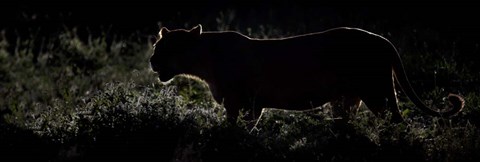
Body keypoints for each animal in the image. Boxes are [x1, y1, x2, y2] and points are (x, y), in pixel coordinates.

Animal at [150, 24, 464, 123]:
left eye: (166, 48)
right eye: (156, 46)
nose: (152, 61)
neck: (203, 61)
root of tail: (383, 40)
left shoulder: (243, 102)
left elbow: (234, 129)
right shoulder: (248, 104)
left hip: (378, 93)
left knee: (396, 122)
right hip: (348, 99)